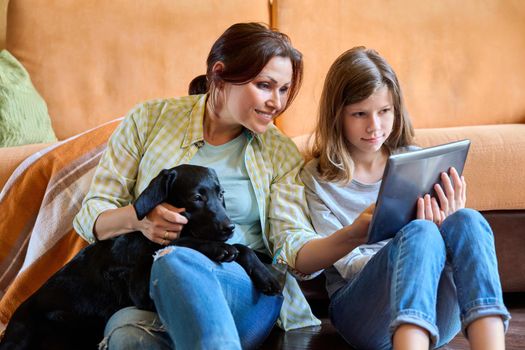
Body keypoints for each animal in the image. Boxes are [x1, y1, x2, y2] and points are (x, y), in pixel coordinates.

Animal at [0, 165, 282, 350]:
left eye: (221, 194)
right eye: (197, 197)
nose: (229, 227)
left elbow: (244, 249)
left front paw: (265, 273)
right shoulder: (141, 290)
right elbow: (180, 242)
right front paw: (218, 249)